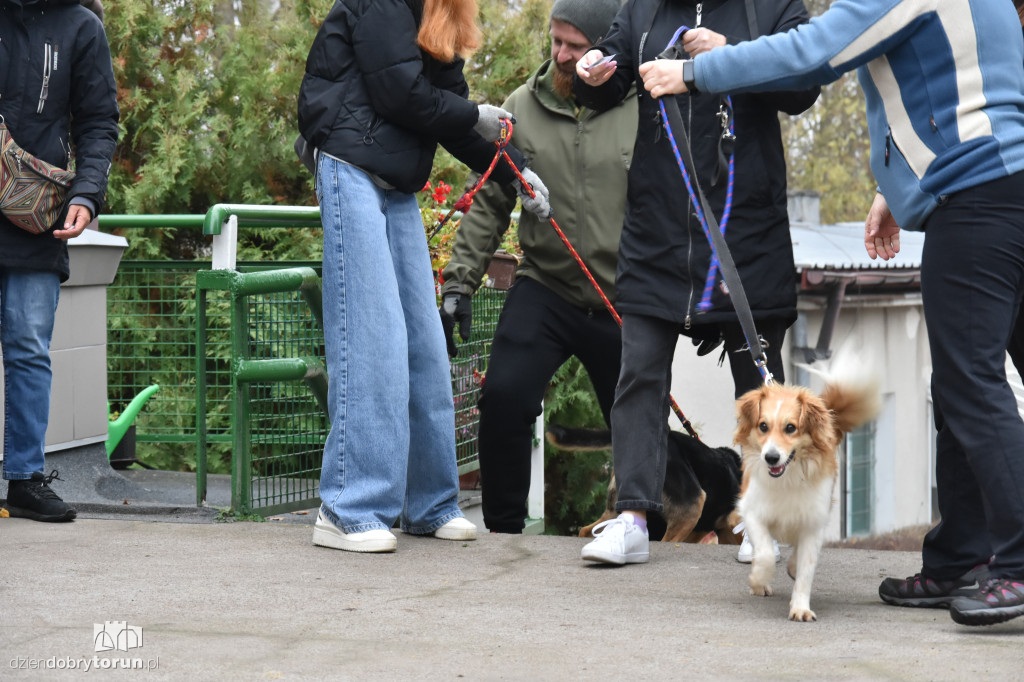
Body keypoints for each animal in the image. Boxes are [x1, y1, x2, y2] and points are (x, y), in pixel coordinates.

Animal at [729, 358, 880, 618]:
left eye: (790, 428)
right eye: (763, 426)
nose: (771, 457)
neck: (788, 478)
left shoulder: (813, 522)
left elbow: (805, 571)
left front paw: (800, 608)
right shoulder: (752, 511)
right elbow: (766, 553)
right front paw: (759, 580)